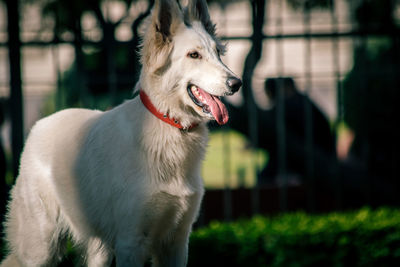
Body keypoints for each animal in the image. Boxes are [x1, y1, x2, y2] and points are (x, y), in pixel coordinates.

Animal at [1, 0, 241, 266]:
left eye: (218, 53)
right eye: (194, 55)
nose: (236, 83)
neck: (167, 124)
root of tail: (39, 125)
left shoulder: (176, 243)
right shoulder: (131, 242)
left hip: (99, 252)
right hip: (41, 248)